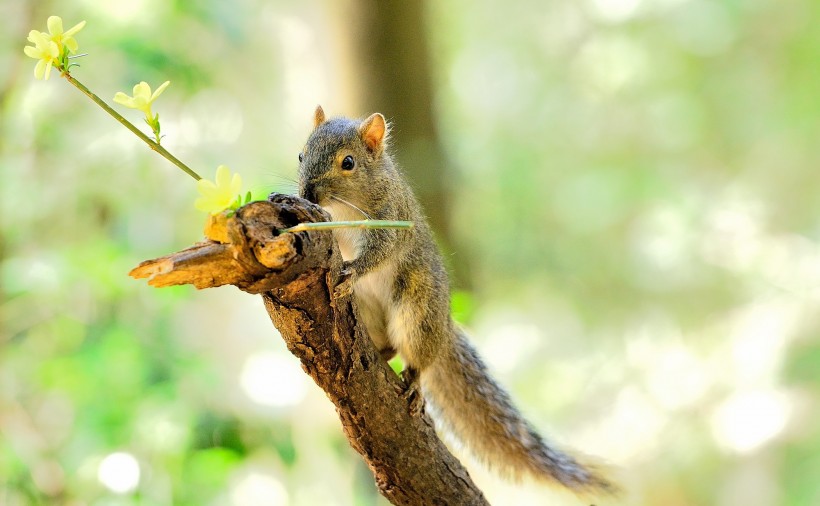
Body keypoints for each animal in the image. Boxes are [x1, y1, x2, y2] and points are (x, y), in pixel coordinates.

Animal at [296, 105, 616, 496]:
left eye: (348, 162)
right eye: (301, 155)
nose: (308, 192)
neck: (346, 206)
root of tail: (446, 326)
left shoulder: (391, 216)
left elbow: (380, 251)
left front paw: (353, 271)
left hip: (418, 310)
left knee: (417, 356)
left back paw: (415, 384)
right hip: (370, 314)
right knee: (388, 346)